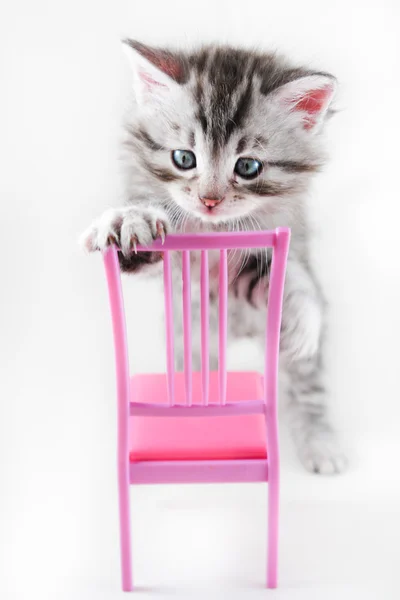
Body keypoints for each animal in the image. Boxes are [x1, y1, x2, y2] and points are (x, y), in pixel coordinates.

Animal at [83, 41, 346, 474]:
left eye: (248, 166)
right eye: (184, 159)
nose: (209, 201)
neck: (212, 231)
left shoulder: (254, 262)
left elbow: (292, 277)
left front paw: (304, 316)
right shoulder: (178, 269)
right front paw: (132, 219)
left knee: (307, 385)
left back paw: (320, 442)